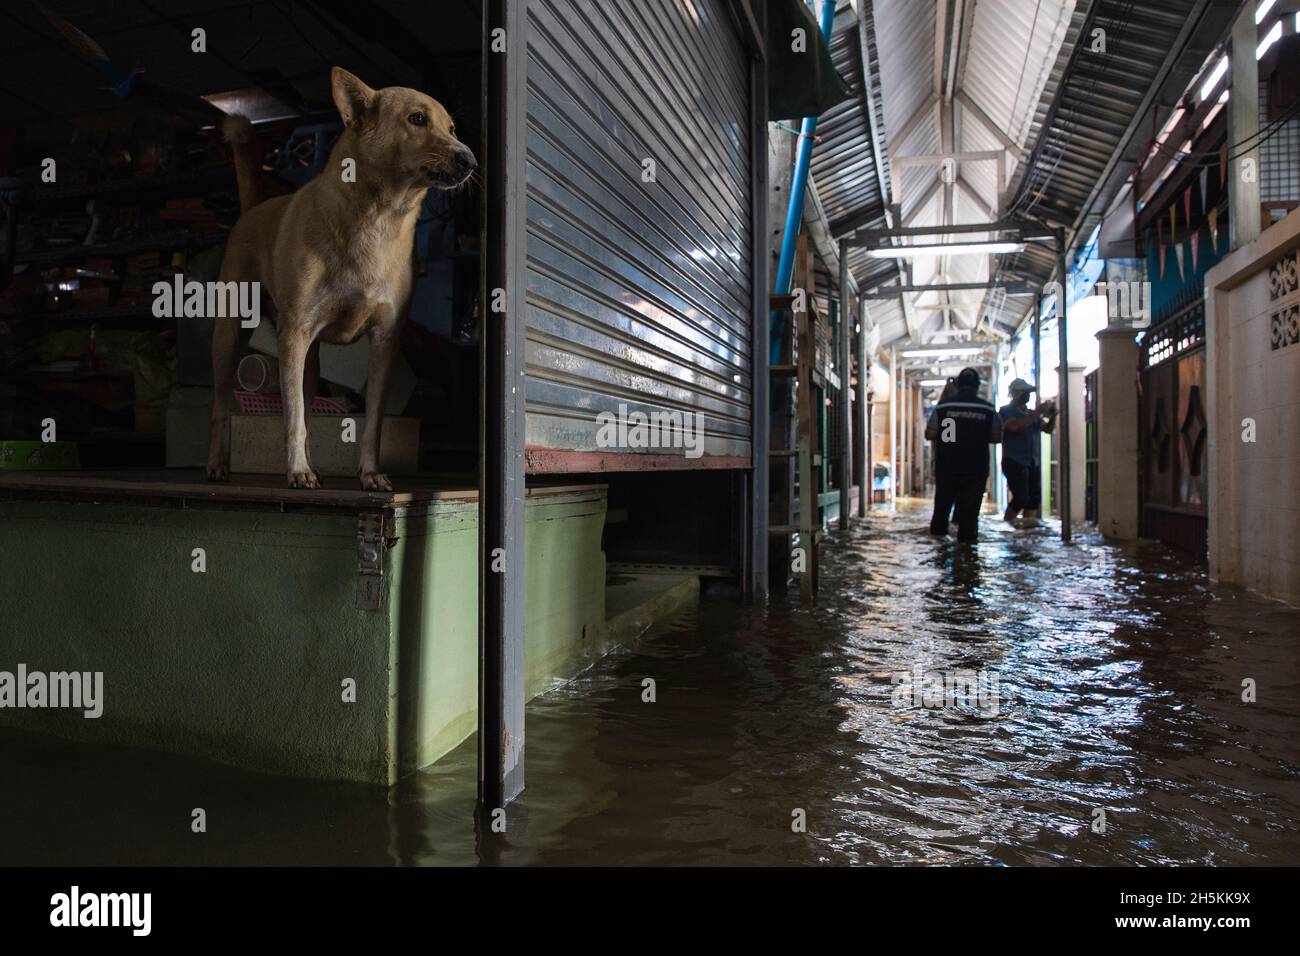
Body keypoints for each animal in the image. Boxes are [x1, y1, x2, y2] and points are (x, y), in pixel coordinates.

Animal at [208, 67, 478, 489]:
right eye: (417, 119)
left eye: (451, 128)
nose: (470, 160)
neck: (378, 219)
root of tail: (253, 209)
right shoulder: (294, 334)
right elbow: (293, 417)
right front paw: (296, 470)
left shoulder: (385, 341)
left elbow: (371, 423)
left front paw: (370, 474)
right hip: (230, 336)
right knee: (222, 405)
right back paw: (219, 464)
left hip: (310, 358)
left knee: (305, 399)